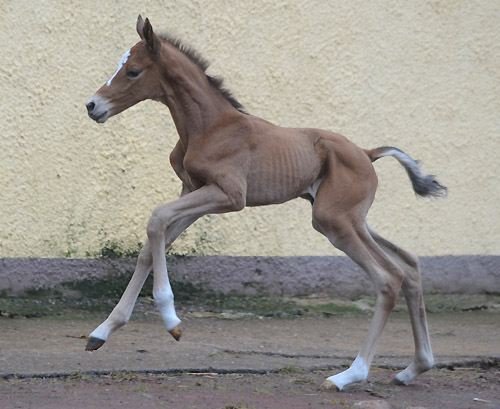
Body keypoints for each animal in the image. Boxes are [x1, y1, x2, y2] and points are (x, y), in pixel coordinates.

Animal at [84, 15, 448, 388]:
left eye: (133, 71)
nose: (93, 106)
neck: (209, 126)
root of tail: (367, 152)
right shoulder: (193, 191)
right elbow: (152, 243)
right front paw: (101, 332)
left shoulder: (230, 195)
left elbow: (156, 219)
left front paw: (172, 321)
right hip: (351, 218)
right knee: (409, 265)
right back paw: (415, 367)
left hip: (333, 220)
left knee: (388, 278)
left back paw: (350, 374)